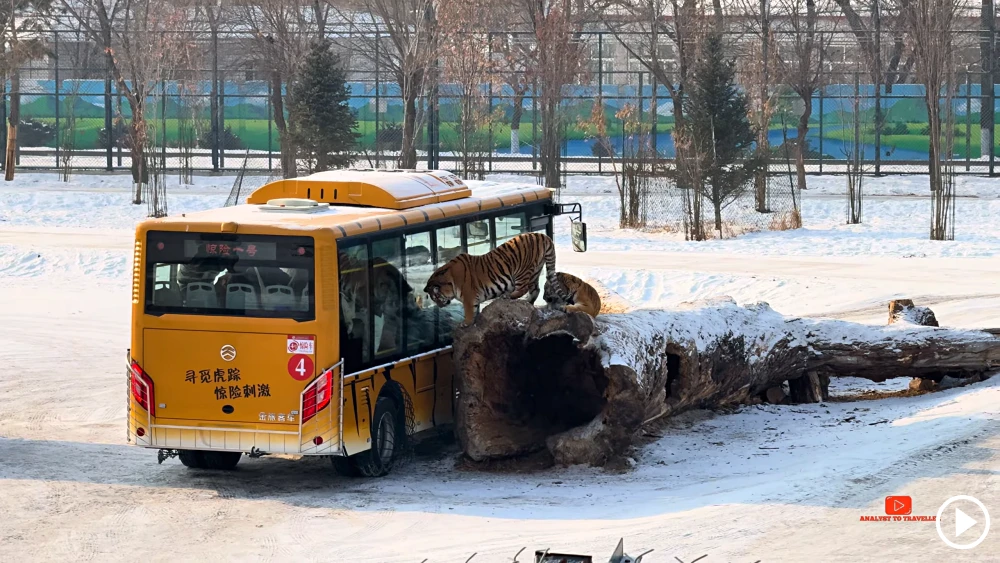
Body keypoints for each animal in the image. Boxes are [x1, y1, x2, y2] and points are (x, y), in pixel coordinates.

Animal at [423, 232, 567, 327]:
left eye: (435, 297)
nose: (439, 306)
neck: (450, 280)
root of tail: (542, 235)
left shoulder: (469, 298)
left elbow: (469, 312)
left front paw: (465, 323)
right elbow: (475, 311)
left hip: (522, 271)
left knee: (523, 288)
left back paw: (507, 296)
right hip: (535, 271)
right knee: (535, 290)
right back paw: (527, 301)